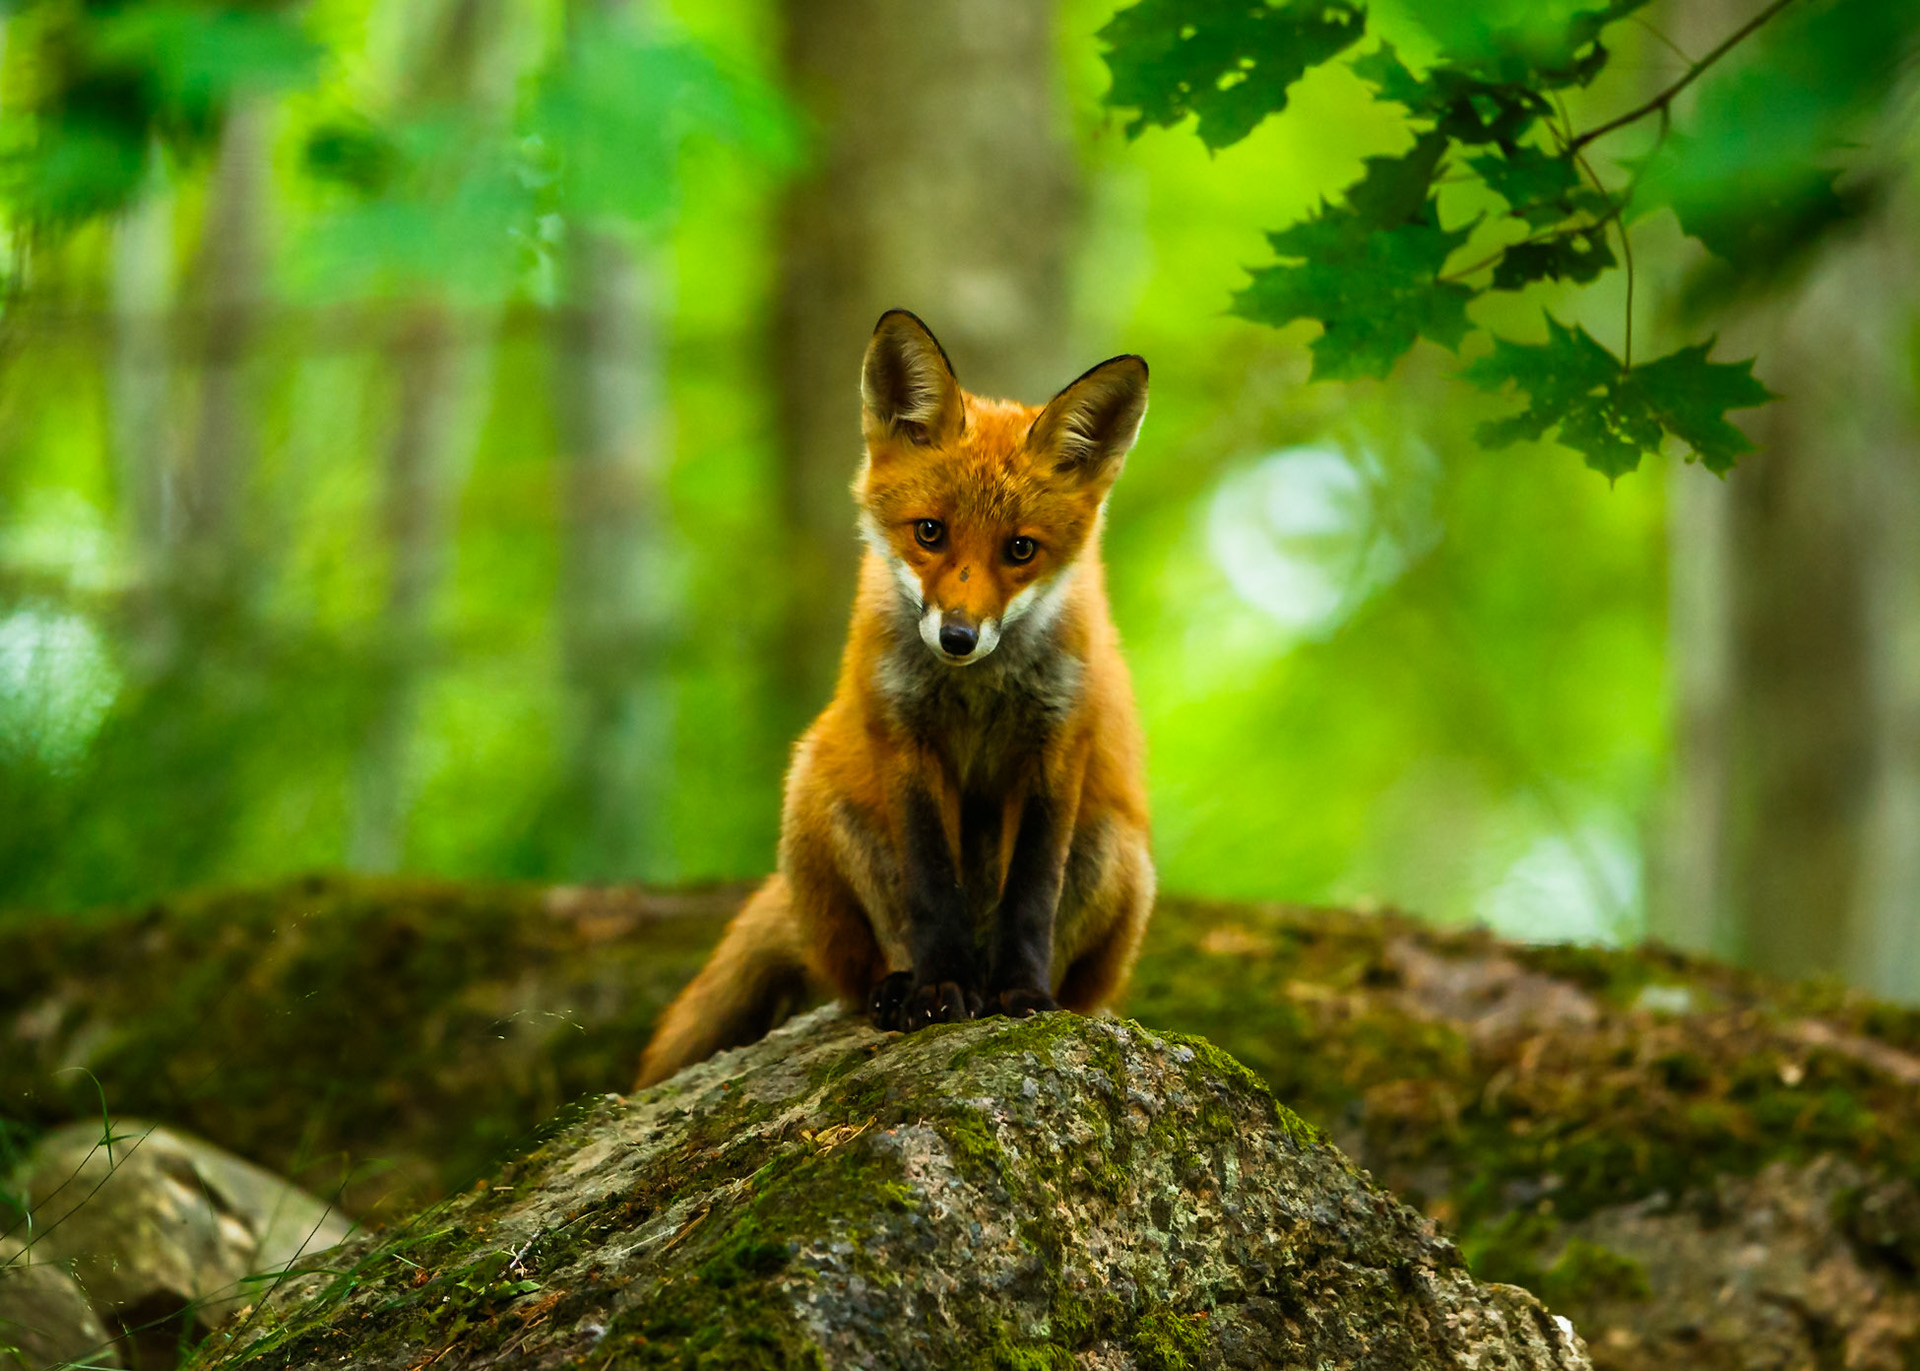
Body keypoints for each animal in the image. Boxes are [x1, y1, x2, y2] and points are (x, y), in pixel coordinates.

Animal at [636, 309, 1154, 1088]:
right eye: (929, 532)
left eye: (1021, 550)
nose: (959, 636)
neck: (975, 689)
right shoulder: (902, 735)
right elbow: (930, 883)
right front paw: (938, 990)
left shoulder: (1058, 744)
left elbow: (1032, 894)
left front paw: (1026, 997)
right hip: (815, 793)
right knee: (861, 971)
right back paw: (900, 989)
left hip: (1115, 847)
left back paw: (1012, 990)